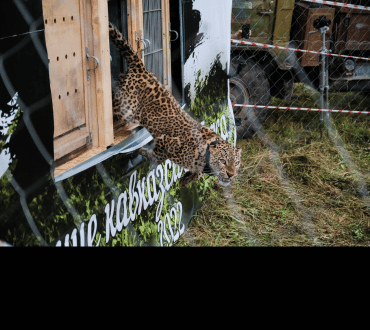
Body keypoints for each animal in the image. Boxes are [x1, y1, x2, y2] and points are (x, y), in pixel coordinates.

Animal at [108, 22, 241, 188]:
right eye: (223, 161)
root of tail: (142, 69)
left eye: (236, 163)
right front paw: (145, 153)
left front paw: (186, 180)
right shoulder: (167, 140)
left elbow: (195, 174)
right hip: (124, 107)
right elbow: (159, 156)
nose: (231, 174)